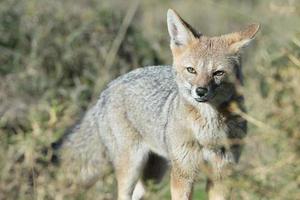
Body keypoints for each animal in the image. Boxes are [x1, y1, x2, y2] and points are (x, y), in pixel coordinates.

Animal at [58, 8, 258, 200]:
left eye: (218, 73)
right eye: (191, 70)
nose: (200, 91)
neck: (208, 132)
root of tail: (109, 86)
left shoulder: (222, 175)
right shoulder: (183, 174)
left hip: (153, 175)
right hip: (132, 167)